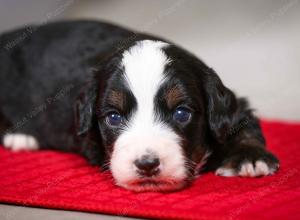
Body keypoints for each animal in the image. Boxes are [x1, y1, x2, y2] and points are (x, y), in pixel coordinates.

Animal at [0, 21, 278, 192]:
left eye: (181, 113)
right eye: (113, 117)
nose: (147, 164)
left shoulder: (231, 106)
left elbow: (243, 123)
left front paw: (251, 157)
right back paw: (21, 137)